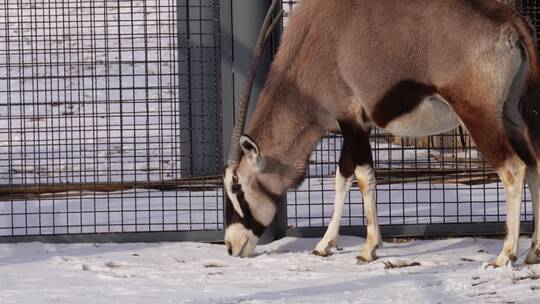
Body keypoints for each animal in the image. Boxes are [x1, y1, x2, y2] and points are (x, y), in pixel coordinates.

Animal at [223, 0, 540, 266]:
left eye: (236, 185)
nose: (230, 246)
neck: (311, 40)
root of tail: (509, 19)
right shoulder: (355, 124)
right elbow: (342, 178)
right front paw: (325, 244)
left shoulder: (350, 120)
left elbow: (363, 178)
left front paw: (369, 249)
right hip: (512, 115)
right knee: (534, 165)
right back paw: (534, 251)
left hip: (478, 116)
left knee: (514, 169)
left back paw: (505, 255)